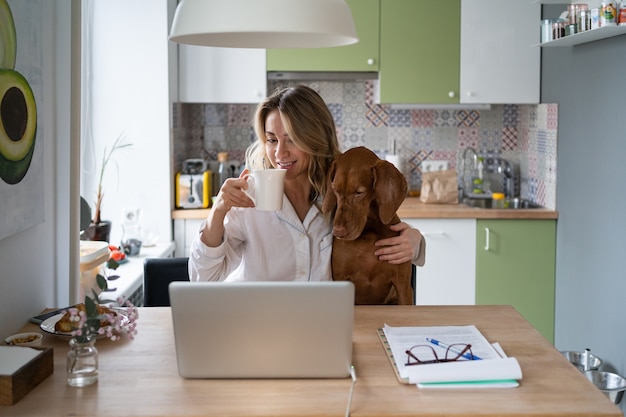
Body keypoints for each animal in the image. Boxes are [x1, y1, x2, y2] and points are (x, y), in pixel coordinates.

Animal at [324, 148, 412, 304]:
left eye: (359, 192)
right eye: (335, 190)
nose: (338, 232)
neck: (370, 231)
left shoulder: (403, 287)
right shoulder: (340, 279)